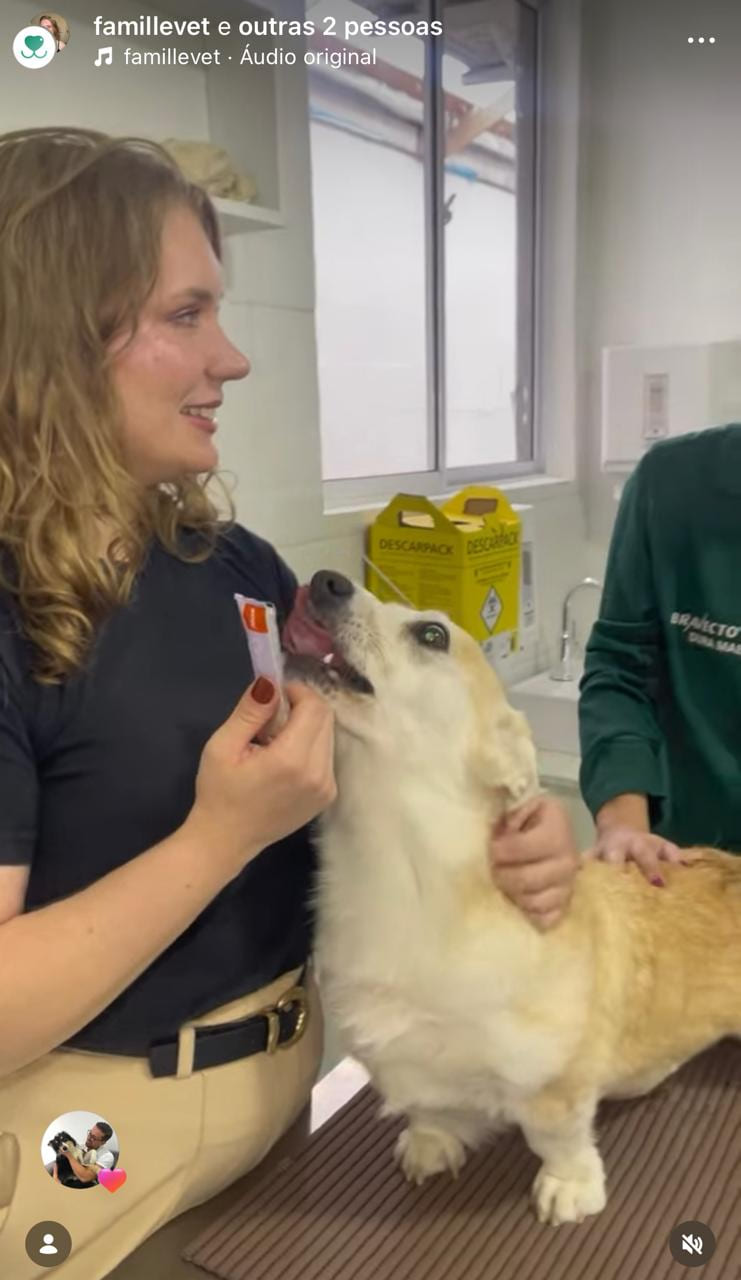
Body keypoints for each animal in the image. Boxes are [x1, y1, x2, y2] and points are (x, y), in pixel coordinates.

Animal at [283, 570, 741, 1226]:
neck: (404, 873)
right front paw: (431, 1145)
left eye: (432, 633)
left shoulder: (556, 1084)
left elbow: (560, 1138)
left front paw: (569, 1189)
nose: (325, 582)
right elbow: (430, 1110)